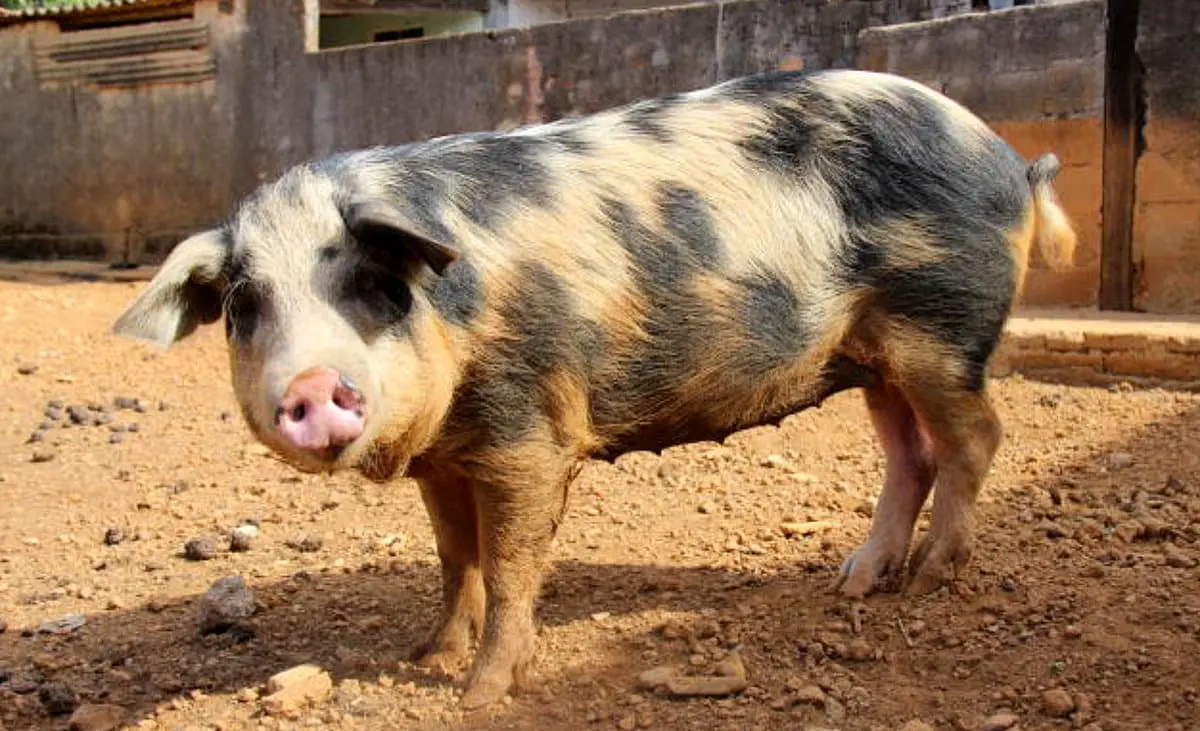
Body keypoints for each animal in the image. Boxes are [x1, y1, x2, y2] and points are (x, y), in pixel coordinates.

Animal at [112, 68, 1076, 708]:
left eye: (363, 280)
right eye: (244, 303)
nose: (313, 384)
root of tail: (1006, 157)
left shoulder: (527, 430)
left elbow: (509, 566)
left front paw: (480, 695)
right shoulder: (444, 458)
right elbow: (454, 559)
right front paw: (424, 658)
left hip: (943, 324)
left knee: (975, 438)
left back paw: (928, 582)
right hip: (878, 352)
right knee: (910, 455)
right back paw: (856, 583)